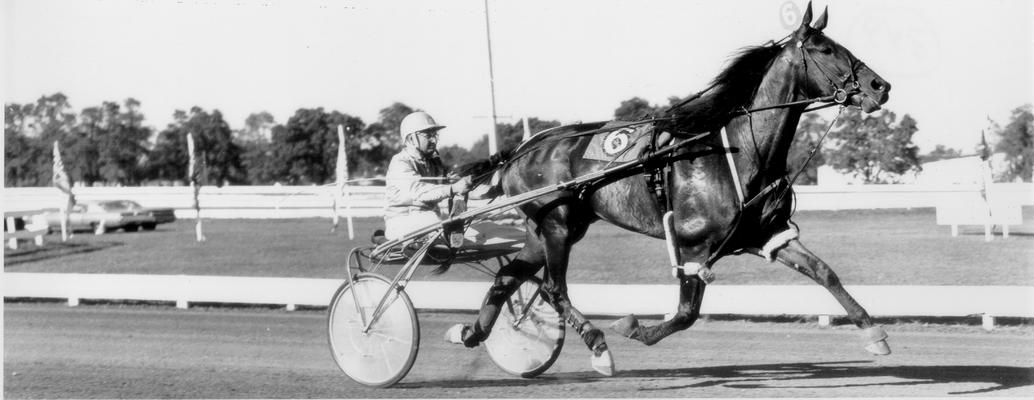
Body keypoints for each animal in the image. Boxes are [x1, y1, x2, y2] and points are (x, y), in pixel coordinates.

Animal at [450, 2, 889, 376]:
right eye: (824, 49)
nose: (879, 85)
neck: (737, 152)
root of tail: (521, 150)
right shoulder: (693, 246)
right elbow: (684, 314)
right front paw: (633, 327)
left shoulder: (766, 234)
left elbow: (824, 272)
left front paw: (875, 334)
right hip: (555, 223)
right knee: (554, 289)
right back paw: (598, 346)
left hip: (549, 228)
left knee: (507, 277)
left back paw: (472, 332)